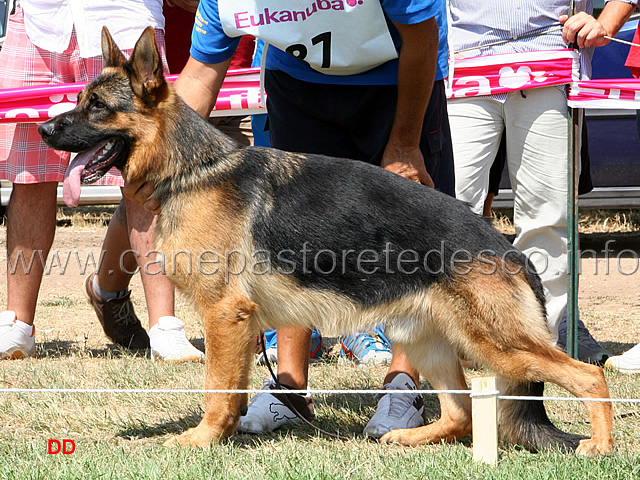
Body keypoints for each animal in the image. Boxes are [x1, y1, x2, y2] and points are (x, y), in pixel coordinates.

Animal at [40, 28, 616, 456]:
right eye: (79, 101)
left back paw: (600, 447)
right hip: (428, 339)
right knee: (463, 414)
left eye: (96, 107)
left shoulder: (225, 315)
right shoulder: (240, 324)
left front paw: (202, 439)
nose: (44, 130)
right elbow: (233, 386)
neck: (193, 169)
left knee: (589, 376)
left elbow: (217, 389)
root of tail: (509, 248)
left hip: (497, 345)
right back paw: (406, 436)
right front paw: (225, 433)